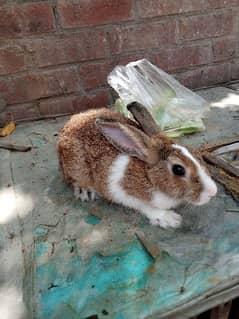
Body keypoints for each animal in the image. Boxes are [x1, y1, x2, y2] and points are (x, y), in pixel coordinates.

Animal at [57, 101, 217, 229]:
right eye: (178, 169)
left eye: (196, 153)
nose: (213, 192)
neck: (149, 177)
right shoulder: (123, 194)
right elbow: (145, 207)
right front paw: (171, 220)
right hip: (75, 167)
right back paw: (85, 191)